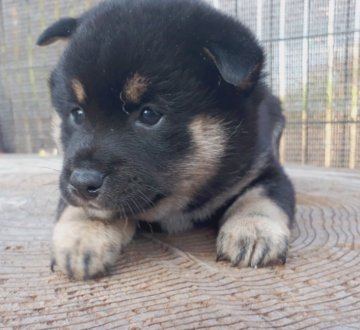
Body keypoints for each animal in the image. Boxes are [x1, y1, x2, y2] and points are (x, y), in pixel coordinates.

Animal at [37, 0, 296, 280]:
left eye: (149, 115)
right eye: (77, 113)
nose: (82, 183)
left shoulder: (265, 169)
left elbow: (261, 197)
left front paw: (253, 230)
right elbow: (83, 207)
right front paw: (83, 235)